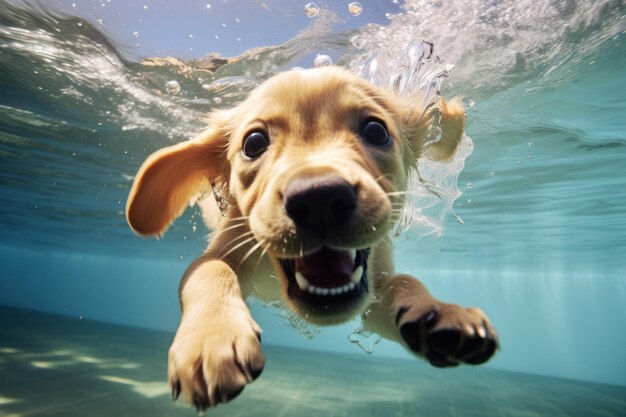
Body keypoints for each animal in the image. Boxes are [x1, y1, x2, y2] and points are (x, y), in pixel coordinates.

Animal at [127, 66, 498, 410]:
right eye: (253, 143)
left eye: (376, 131)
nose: (320, 198)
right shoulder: (224, 248)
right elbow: (210, 271)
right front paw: (212, 340)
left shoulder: (375, 290)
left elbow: (403, 283)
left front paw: (440, 313)